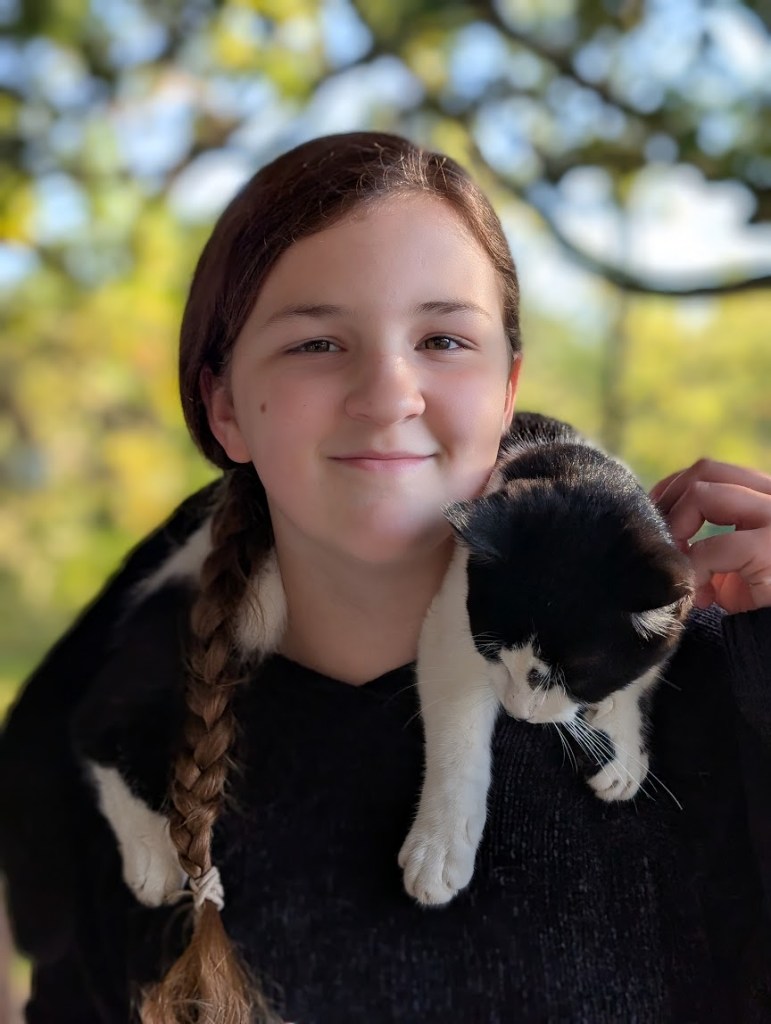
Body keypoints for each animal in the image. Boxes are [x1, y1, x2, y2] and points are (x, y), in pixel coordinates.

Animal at [397, 412, 694, 906]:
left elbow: (642, 676)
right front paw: (439, 846)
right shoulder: (452, 620)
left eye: (576, 676)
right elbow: (458, 730)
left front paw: (625, 748)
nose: (519, 712)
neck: (581, 468)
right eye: (493, 653)